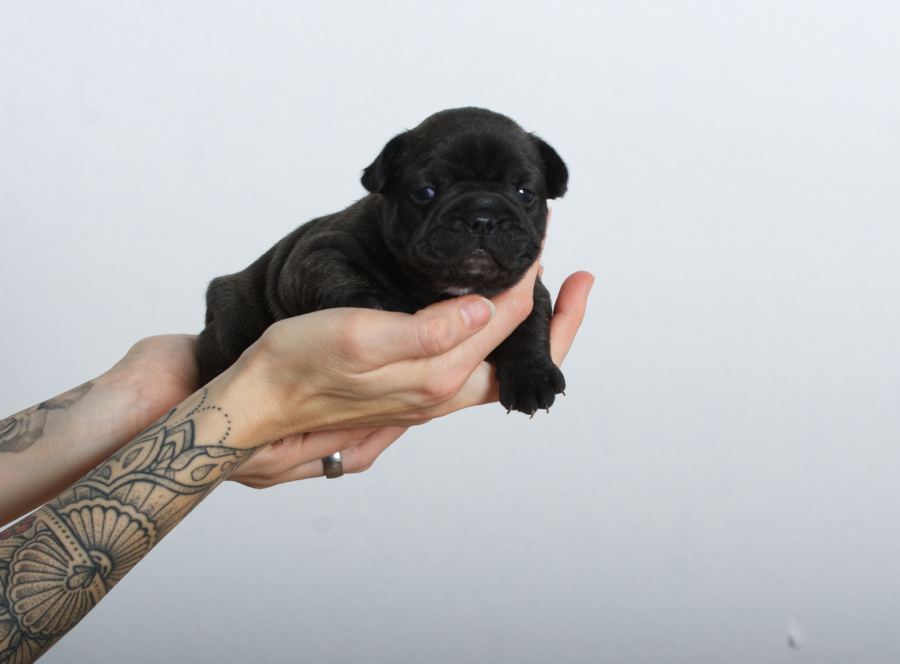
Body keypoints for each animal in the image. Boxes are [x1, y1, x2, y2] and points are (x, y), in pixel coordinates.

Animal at [196, 107, 568, 415]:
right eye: (424, 192)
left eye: (525, 194)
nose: (482, 217)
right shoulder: (315, 250)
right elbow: (332, 271)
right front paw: (370, 299)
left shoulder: (528, 288)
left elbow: (532, 318)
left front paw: (531, 375)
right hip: (231, 317)